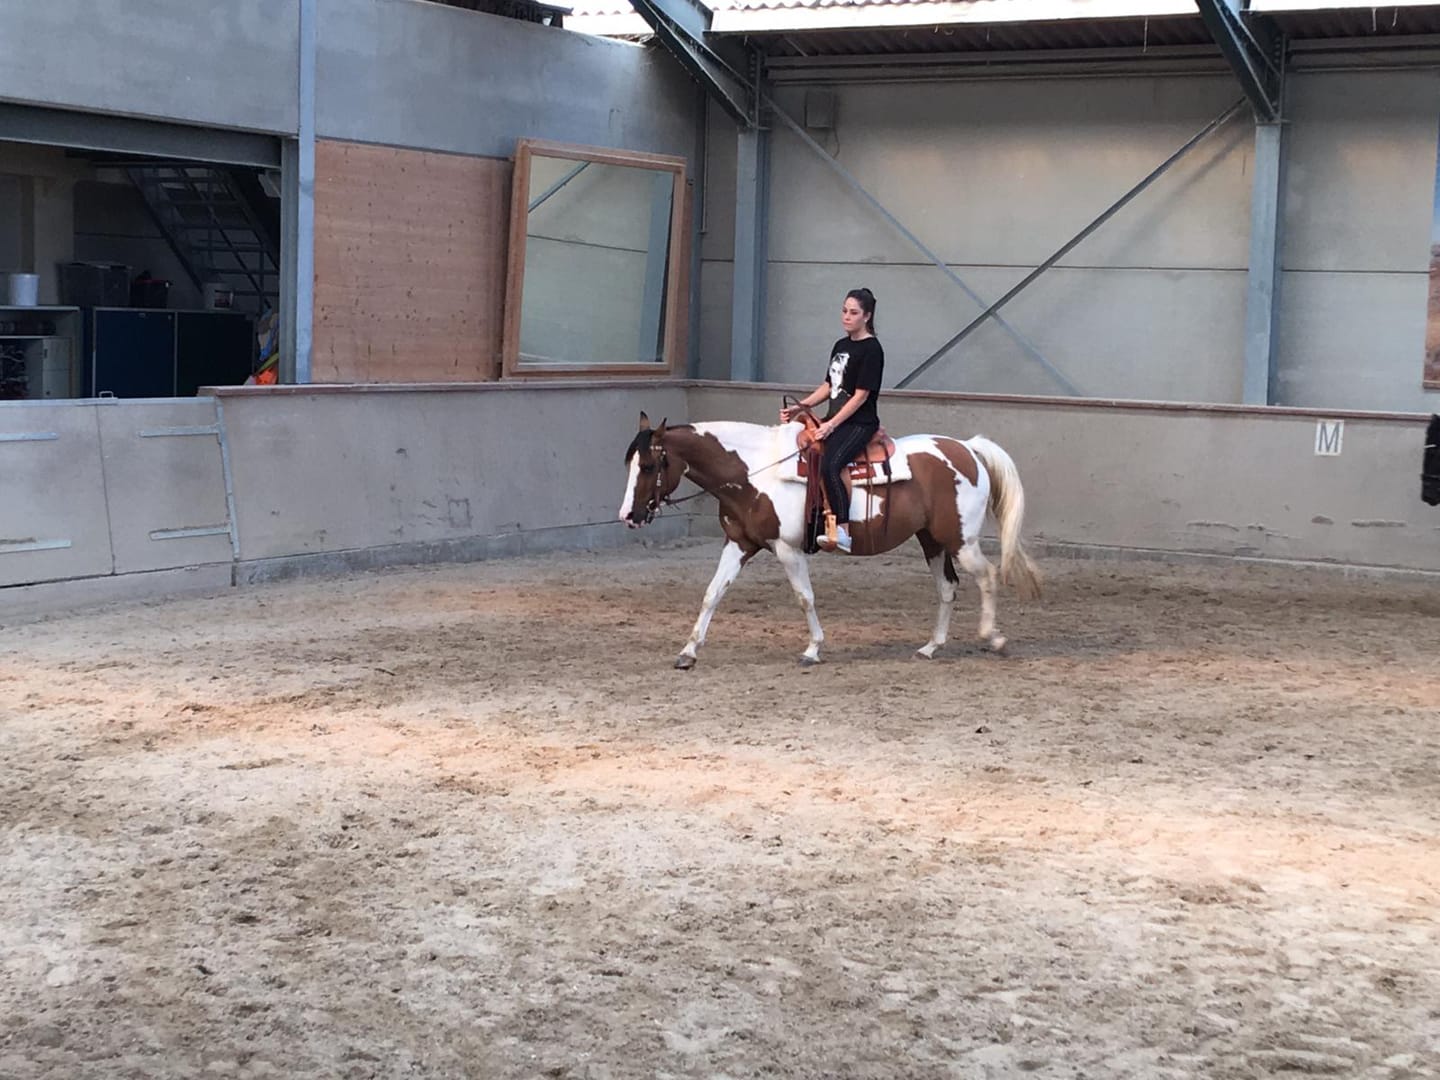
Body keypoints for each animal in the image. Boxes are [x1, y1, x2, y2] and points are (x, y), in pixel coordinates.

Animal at [618, 410, 1042, 668]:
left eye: (650, 465)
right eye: (630, 464)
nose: (628, 516)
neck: (754, 472)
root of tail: (967, 448)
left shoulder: (787, 549)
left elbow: (804, 596)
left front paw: (812, 649)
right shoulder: (739, 545)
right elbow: (712, 593)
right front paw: (688, 651)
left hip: (960, 540)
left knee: (986, 576)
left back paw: (993, 638)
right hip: (932, 540)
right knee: (947, 587)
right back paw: (931, 646)